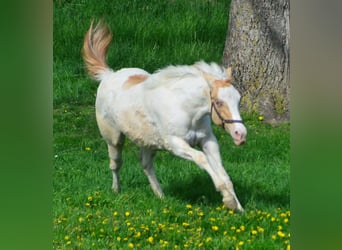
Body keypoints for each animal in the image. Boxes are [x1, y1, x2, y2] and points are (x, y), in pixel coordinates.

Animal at [84, 20, 247, 211]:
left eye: (238, 99)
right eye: (219, 102)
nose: (240, 134)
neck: (186, 109)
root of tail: (108, 75)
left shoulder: (208, 140)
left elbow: (224, 175)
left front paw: (237, 207)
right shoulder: (175, 144)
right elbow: (202, 159)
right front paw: (227, 198)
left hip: (148, 142)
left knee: (146, 164)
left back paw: (161, 196)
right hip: (114, 139)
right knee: (115, 164)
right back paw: (116, 190)